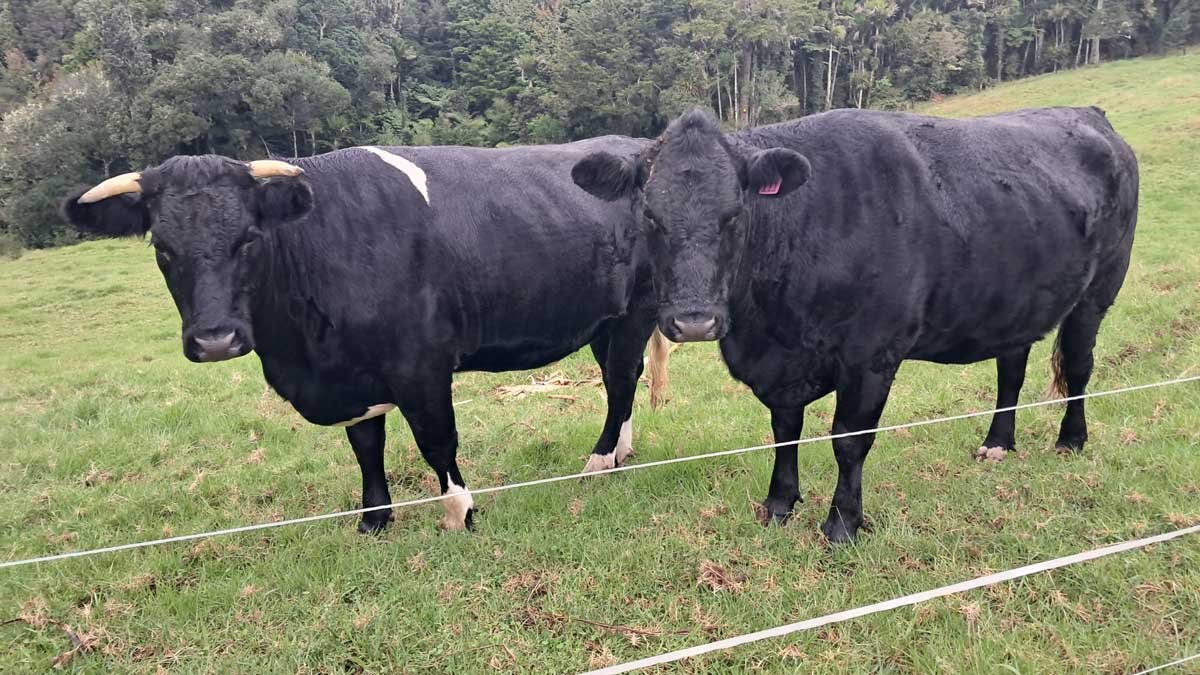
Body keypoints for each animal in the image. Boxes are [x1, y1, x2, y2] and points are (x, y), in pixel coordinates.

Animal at [63, 138, 670, 534]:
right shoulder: (350, 373)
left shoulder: (421, 365)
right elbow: (365, 444)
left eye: (249, 238)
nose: (215, 339)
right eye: (163, 249)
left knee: (621, 379)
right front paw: (374, 518)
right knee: (621, 382)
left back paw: (598, 463)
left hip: (639, 307)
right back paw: (621, 452)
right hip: (604, 319)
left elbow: (436, 440)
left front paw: (460, 513)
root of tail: (638, 145)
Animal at [572, 107, 1138, 542]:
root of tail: (1090, 115)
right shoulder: (784, 364)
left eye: (734, 214)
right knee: (1011, 372)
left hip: (1099, 291)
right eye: (650, 217)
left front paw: (842, 524)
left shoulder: (871, 356)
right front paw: (778, 504)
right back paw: (997, 443)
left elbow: (849, 440)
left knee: (1080, 365)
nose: (694, 321)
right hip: (1014, 303)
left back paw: (1070, 440)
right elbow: (784, 431)